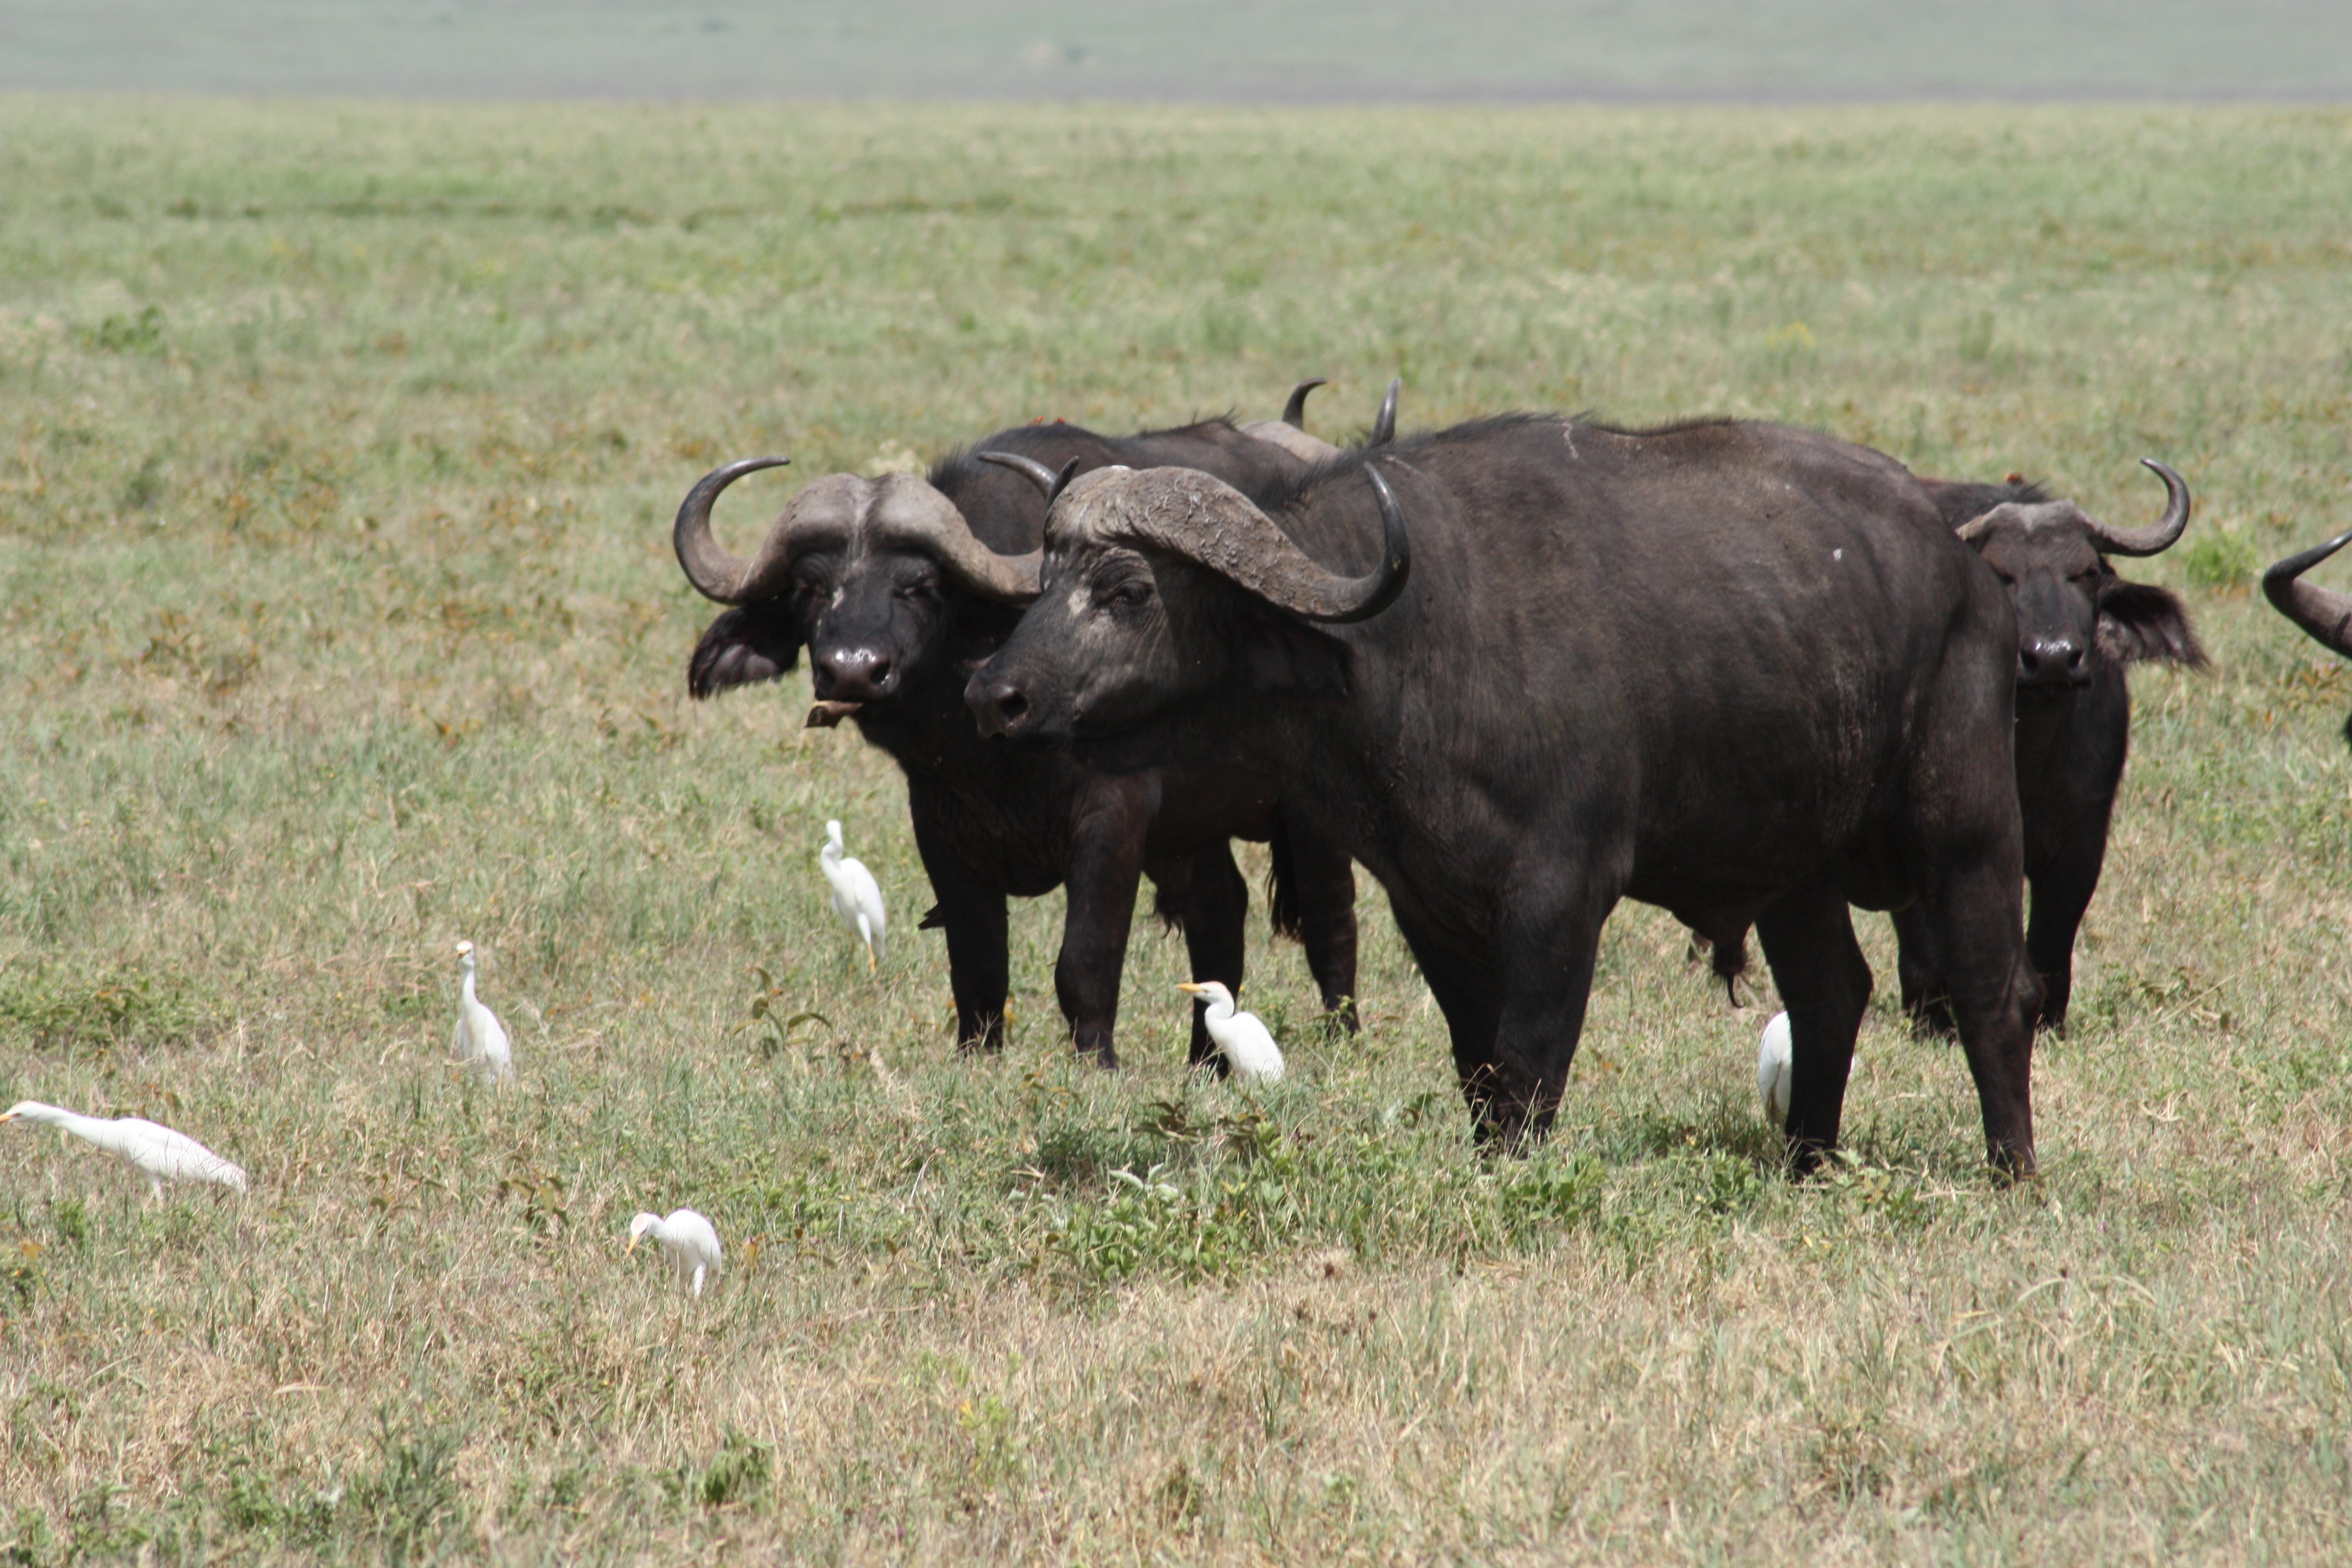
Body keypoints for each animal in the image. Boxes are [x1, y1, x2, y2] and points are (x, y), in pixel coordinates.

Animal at [673, 398, 1370, 1068]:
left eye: (918, 586)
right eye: (809, 588)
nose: (853, 669)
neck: (984, 755)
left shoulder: (1111, 821)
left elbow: (1083, 960)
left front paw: (1096, 1063)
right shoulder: (942, 833)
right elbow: (978, 967)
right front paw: (977, 1057)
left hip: (1311, 815)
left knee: (1329, 913)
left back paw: (1341, 1034)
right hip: (1193, 828)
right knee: (1220, 913)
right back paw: (1205, 1063)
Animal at [968, 415, 2047, 1176]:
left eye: (1128, 591)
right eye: (1044, 578)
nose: (994, 695)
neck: (1410, 642)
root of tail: (1962, 566)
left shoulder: (1561, 895)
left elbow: (1530, 1063)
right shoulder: (1429, 902)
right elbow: (1477, 1065)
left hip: (1969, 827)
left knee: (1997, 993)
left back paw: (2011, 1169)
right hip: (1796, 867)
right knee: (1830, 995)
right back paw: (1806, 1163)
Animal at [1891, 461, 2202, 1033]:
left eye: (2086, 573)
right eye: (2000, 573)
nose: (2053, 657)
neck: (2025, 759)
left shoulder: (2082, 843)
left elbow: (2053, 939)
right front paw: (1934, 1018)